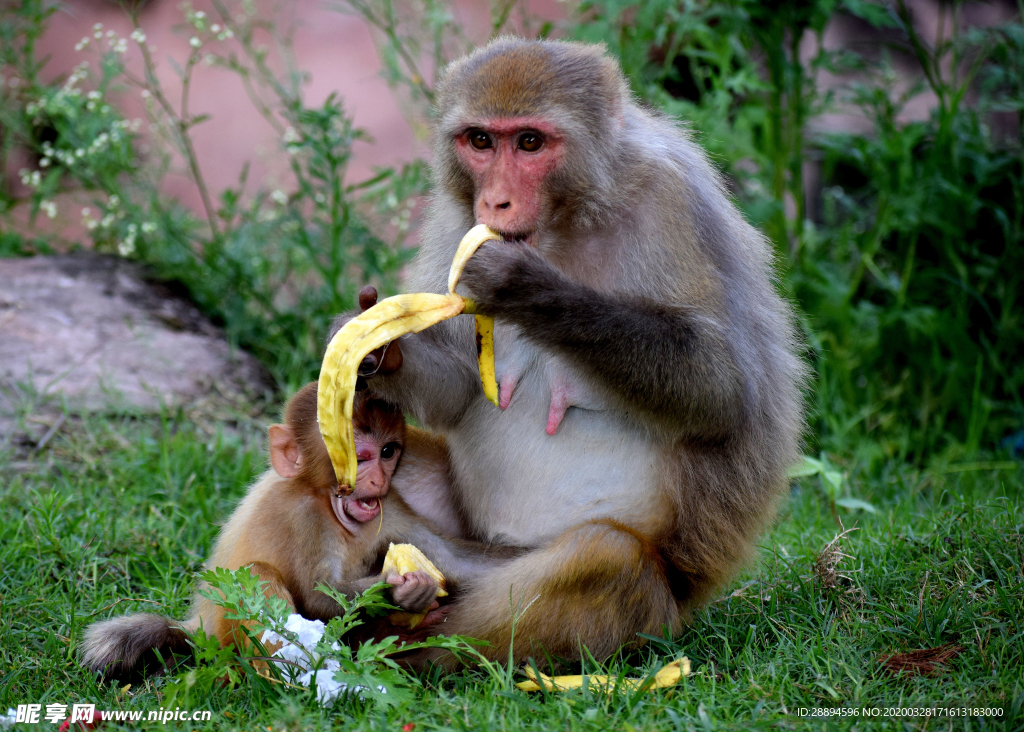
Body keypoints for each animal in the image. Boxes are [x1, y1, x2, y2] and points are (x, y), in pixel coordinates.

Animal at [79, 382, 495, 679]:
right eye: (358, 457)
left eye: (388, 451)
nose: (377, 479)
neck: (332, 508)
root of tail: (199, 628)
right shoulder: (304, 517)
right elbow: (317, 596)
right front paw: (401, 591)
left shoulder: (390, 507)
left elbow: (455, 559)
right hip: (228, 632)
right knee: (257, 574)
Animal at [352, 40, 806, 667]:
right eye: (480, 141)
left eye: (530, 143)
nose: (496, 201)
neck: (567, 220)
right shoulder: (457, 214)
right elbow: (456, 390)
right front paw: (381, 349)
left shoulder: (669, 201)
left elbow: (720, 388)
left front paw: (525, 287)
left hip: (645, 609)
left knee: (603, 556)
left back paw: (403, 641)